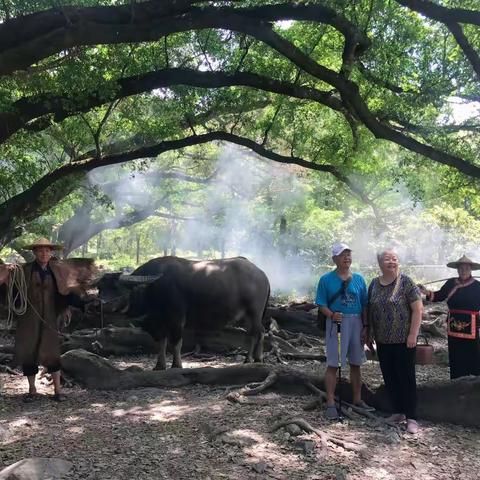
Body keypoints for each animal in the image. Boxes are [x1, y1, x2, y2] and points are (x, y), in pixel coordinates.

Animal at [119, 256, 270, 370]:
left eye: (121, 290)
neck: (155, 288)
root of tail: (262, 274)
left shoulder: (176, 319)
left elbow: (176, 342)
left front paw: (176, 365)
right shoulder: (159, 323)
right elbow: (161, 343)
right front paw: (159, 366)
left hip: (254, 313)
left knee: (256, 333)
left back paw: (251, 359)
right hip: (245, 317)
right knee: (258, 332)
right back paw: (256, 358)